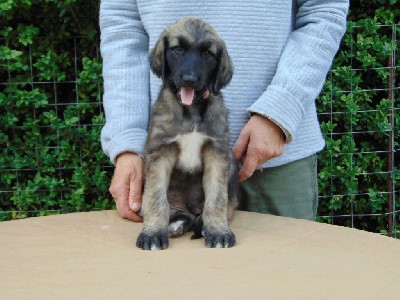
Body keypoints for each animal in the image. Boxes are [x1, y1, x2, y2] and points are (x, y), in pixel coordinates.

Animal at [137, 17, 238, 250]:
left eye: (208, 54)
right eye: (178, 49)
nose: (189, 79)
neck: (191, 109)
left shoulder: (217, 153)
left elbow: (216, 199)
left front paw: (218, 231)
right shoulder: (160, 152)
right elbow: (156, 198)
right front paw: (153, 233)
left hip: (232, 166)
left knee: (207, 213)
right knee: (177, 212)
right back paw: (175, 225)